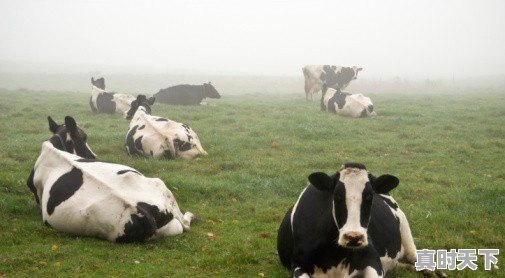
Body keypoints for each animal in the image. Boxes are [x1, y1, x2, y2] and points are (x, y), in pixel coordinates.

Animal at [26, 116, 194, 242]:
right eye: (84, 137)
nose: (93, 156)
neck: (53, 150)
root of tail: (140, 209)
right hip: (161, 189)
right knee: (184, 222)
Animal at [276, 163, 440, 278]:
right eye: (337, 195)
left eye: (369, 196)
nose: (353, 237)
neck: (334, 257)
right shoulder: (297, 263)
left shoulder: (373, 259)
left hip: (405, 229)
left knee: (414, 256)